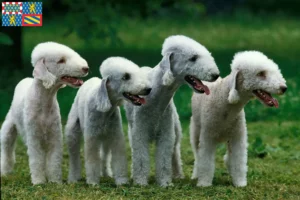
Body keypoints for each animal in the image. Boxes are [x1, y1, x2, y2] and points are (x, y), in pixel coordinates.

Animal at [0, 42, 88, 184]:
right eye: (61, 60)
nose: (86, 68)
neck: (45, 101)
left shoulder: (55, 135)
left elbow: (54, 160)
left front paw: (55, 181)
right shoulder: (34, 137)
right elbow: (36, 160)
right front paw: (39, 182)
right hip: (8, 128)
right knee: (7, 148)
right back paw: (5, 172)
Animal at [64, 57, 151, 185]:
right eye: (126, 77)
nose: (148, 89)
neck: (105, 109)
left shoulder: (116, 136)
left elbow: (119, 159)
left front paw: (121, 181)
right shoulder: (92, 138)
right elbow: (93, 159)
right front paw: (93, 182)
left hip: (106, 138)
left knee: (104, 156)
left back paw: (105, 173)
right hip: (73, 131)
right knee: (74, 156)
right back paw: (73, 178)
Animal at [191, 50, 288, 187]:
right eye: (261, 73)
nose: (284, 88)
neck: (225, 102)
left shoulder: (237, 137)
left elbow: (238, 160)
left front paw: (240, 183)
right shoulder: (208, 137)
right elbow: (205, 161)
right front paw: (204, 183)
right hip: (195, 130)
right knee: (197, 155)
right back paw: (195, 175)